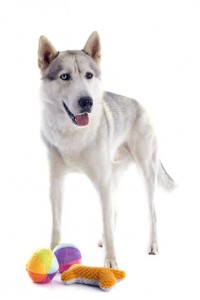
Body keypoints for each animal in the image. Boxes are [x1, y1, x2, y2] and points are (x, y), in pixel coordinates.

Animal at [37, 31, 175, 268]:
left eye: (89, 75)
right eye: (64, 77)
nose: (87, 102)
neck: (73, 135)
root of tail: (141, 105)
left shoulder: (102, 182)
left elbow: (108, 224)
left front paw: (110, 261)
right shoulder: (56, 183)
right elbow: (56, 226)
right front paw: (52, 253)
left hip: (146, 173)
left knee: (151, 213)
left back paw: (152, 245)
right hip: (113, 175)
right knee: (115, 211)